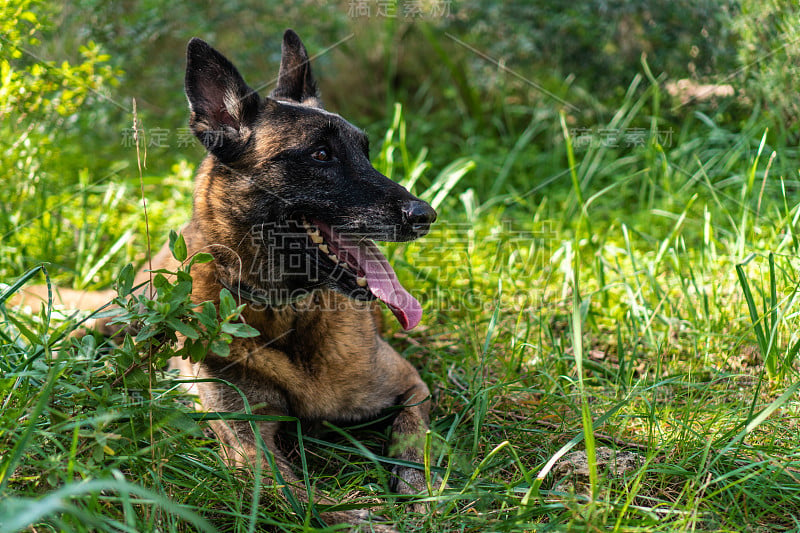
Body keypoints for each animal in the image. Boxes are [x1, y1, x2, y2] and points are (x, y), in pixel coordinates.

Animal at [17, 31, 438, 528]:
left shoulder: (411, 385)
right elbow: (307, 501)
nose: (425, 215)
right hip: (116, 322)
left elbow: (411, 437)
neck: (288, 318)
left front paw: (418, 492)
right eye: (321, 155)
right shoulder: (250, 451)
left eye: (366, 153)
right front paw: (370, 518)